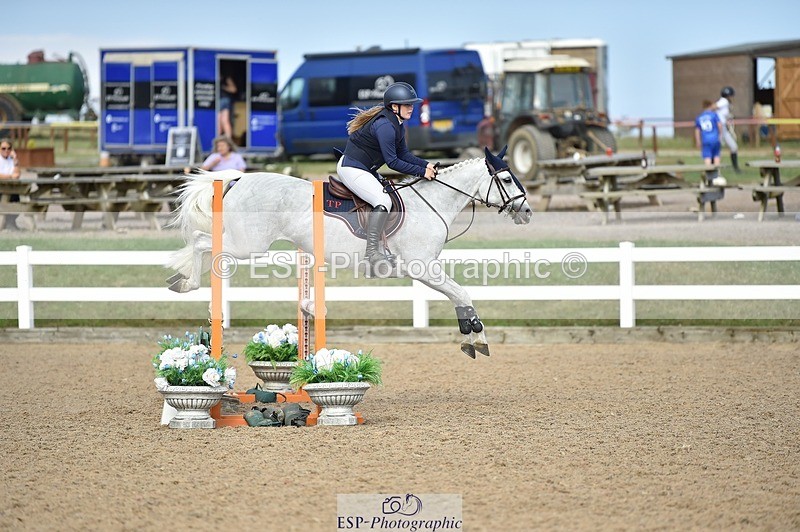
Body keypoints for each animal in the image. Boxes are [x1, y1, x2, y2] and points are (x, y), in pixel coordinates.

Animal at [166, 146, 532, 358]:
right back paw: (185, 282)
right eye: (506, 180)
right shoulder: (422, 267)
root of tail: (240, 179)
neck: (433, 203)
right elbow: (462, 292)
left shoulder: (426, 269)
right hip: (248, 244)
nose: (527, 212)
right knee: (201, 241)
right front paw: (477, 338)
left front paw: (471, 337)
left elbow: (458, 295)